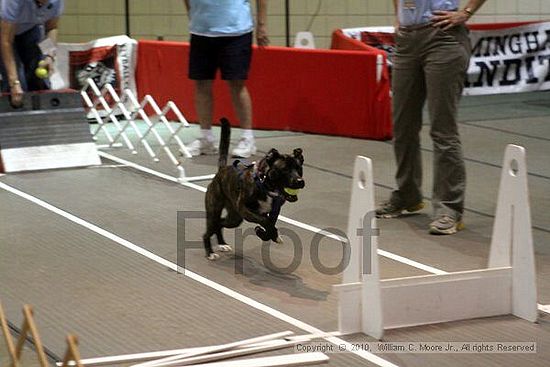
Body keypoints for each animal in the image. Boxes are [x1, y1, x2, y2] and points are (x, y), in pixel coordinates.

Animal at [204, 119, 306, 260]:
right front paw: (264, 231)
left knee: (220, 224)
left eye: (299, 168)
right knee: (209, 230)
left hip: (234, 218)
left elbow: (270, 224)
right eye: (284, 169)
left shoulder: (274, 211)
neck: (265, 184)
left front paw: (267, 234)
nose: (300, 181)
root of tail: (221, 172)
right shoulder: (245, 209)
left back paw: (222, 244)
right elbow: (265, 222)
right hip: (216, 211)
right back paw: (210, 252)